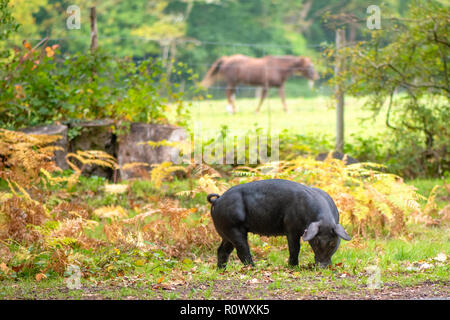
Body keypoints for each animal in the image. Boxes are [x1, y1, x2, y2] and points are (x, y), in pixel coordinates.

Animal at [207, 179, 352, 268]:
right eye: (315, 242)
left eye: (333, 243)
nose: (322, 266)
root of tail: (217, 200)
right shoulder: (291, 228)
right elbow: (294, 248)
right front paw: (293, 267)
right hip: (233, 227)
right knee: (242, 250)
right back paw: (253, 268)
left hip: (226, 231)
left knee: (222, 250)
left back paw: (221, 270)